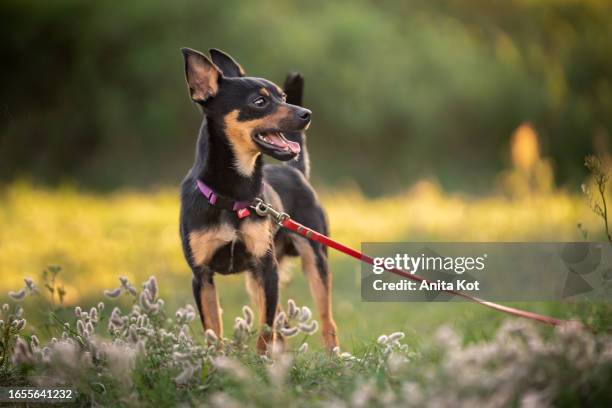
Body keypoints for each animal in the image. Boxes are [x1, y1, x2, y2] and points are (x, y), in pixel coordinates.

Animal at [177, 47, 340, 352]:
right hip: (254, 281)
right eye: (260, 101)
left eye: (284, 97)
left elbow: (266, 329)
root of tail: (294, 170)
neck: (231, 195)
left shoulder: (267, 269)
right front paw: (216, 360)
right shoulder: (202, 276)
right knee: (282, 322)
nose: (307, 114)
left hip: (314, 260)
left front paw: (262, 359)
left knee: (326, 321)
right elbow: (213, 331)